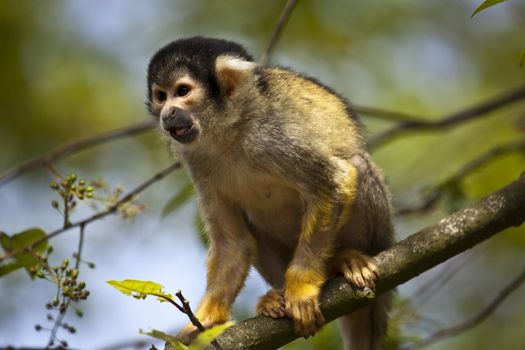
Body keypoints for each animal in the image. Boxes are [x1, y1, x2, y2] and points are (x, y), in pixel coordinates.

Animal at [147, 37, 392, 348]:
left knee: (357, 164)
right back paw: (276, 296)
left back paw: (347, 260)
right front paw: (204, 322)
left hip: (380, 237)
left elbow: (334, 182)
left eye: (182, 91)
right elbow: (233, 244)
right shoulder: (196, 161)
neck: (229, 131)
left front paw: (301, 289)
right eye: (161, 96)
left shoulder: (270, 137)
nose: (168, 113)